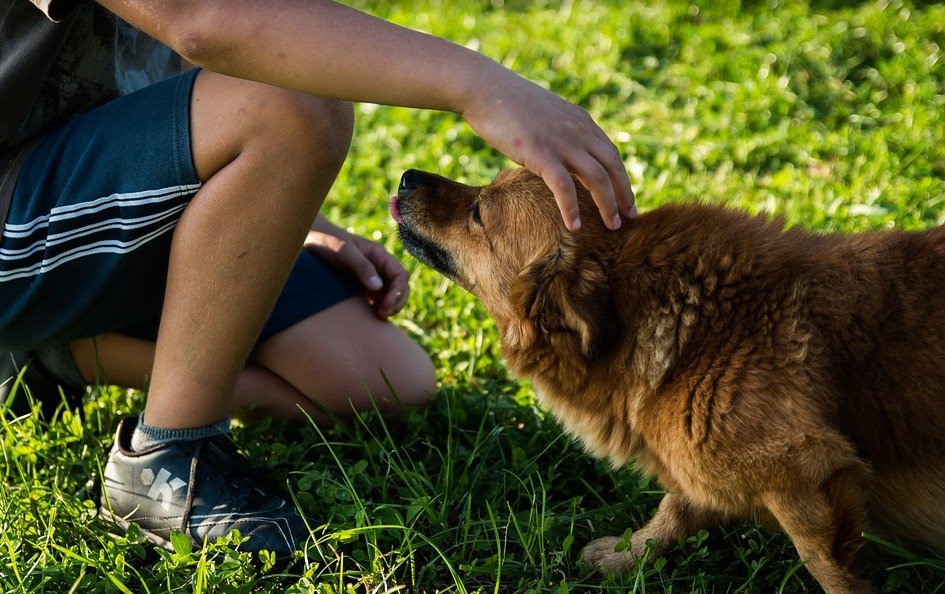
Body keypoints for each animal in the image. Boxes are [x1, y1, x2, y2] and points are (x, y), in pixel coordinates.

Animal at [392, 166, 945, 592]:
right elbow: (675, 508)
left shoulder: (807, 475)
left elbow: (830, 570)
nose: (407, 176)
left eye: (479, 212)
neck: (698, 327)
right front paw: (627, 556)